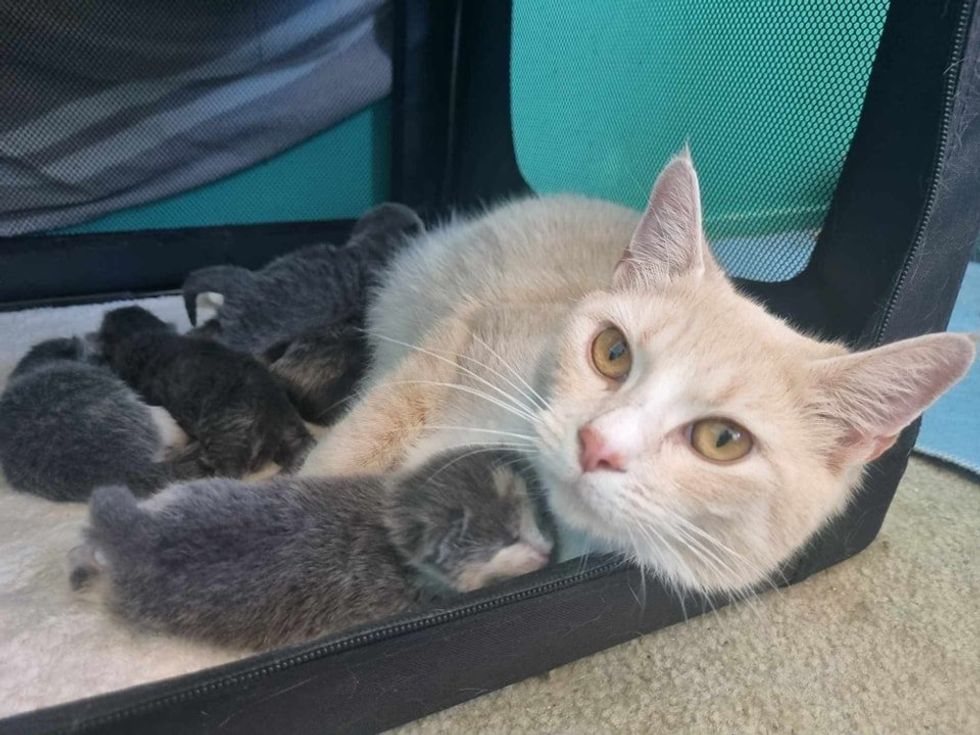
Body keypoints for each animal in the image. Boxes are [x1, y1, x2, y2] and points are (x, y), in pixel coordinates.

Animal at [72, 448, 556, 648]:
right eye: (508, 539)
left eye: (534, 517)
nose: (549, 550)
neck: (391, 526)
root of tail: (137, 535)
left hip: (183, 494)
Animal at [95, 304, 310, 478]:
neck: (145, 332)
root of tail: (271, 402)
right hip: (289, 426)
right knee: (303, 445)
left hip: (224, 431)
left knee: (230, 470)